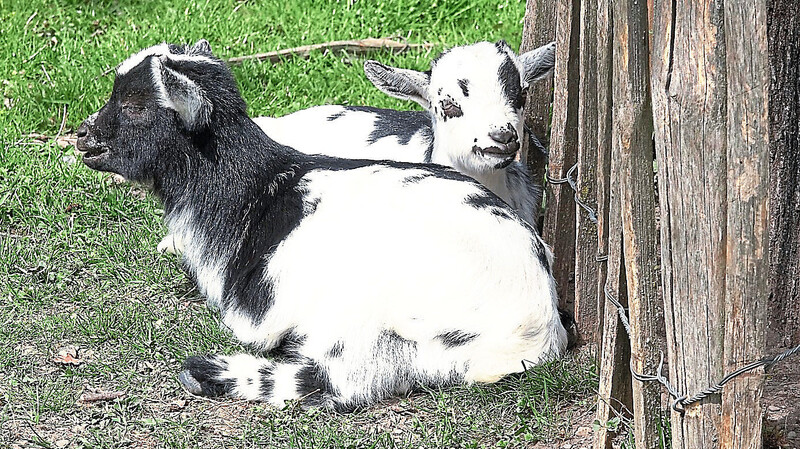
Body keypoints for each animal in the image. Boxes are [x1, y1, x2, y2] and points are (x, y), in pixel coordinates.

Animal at [73, 40, 564, 412]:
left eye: (136, 105)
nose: (83, 135)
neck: (250, 192)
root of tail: (534, 329)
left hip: (372, 312)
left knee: (348, 379)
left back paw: (208, 372)